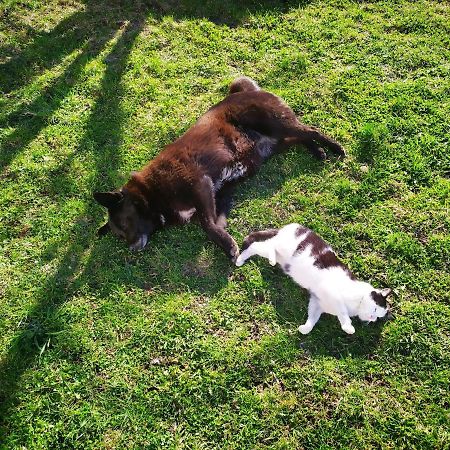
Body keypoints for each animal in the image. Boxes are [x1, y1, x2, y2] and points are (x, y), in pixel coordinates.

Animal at [93, 77, 342, 260]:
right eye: (119, 236)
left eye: (124, 224)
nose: (132, 249)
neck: (151, 193)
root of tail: (243, 91)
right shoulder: (219, 195)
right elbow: (214, 223)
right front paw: (226, 241)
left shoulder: (201, 185)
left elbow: (206, 224)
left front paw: (226, 243)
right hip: (277, 142)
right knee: (302, 137)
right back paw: (318, 151)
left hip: (275, 124)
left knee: (311, 130)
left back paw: (335, 147)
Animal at [236, 224, 390, 334]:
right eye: (375, 309)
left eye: (377, 317)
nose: (372, 319)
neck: (357, 303)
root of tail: (290, 226)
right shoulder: (331, 291)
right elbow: (342, 310)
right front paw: (348, 327)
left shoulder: (316, 302)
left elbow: (312, 319)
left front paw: (304, 328)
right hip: (286, 247)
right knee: (267, 245)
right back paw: (259, 260)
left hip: (281, 256)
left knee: (257, 247)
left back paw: (243, 259)